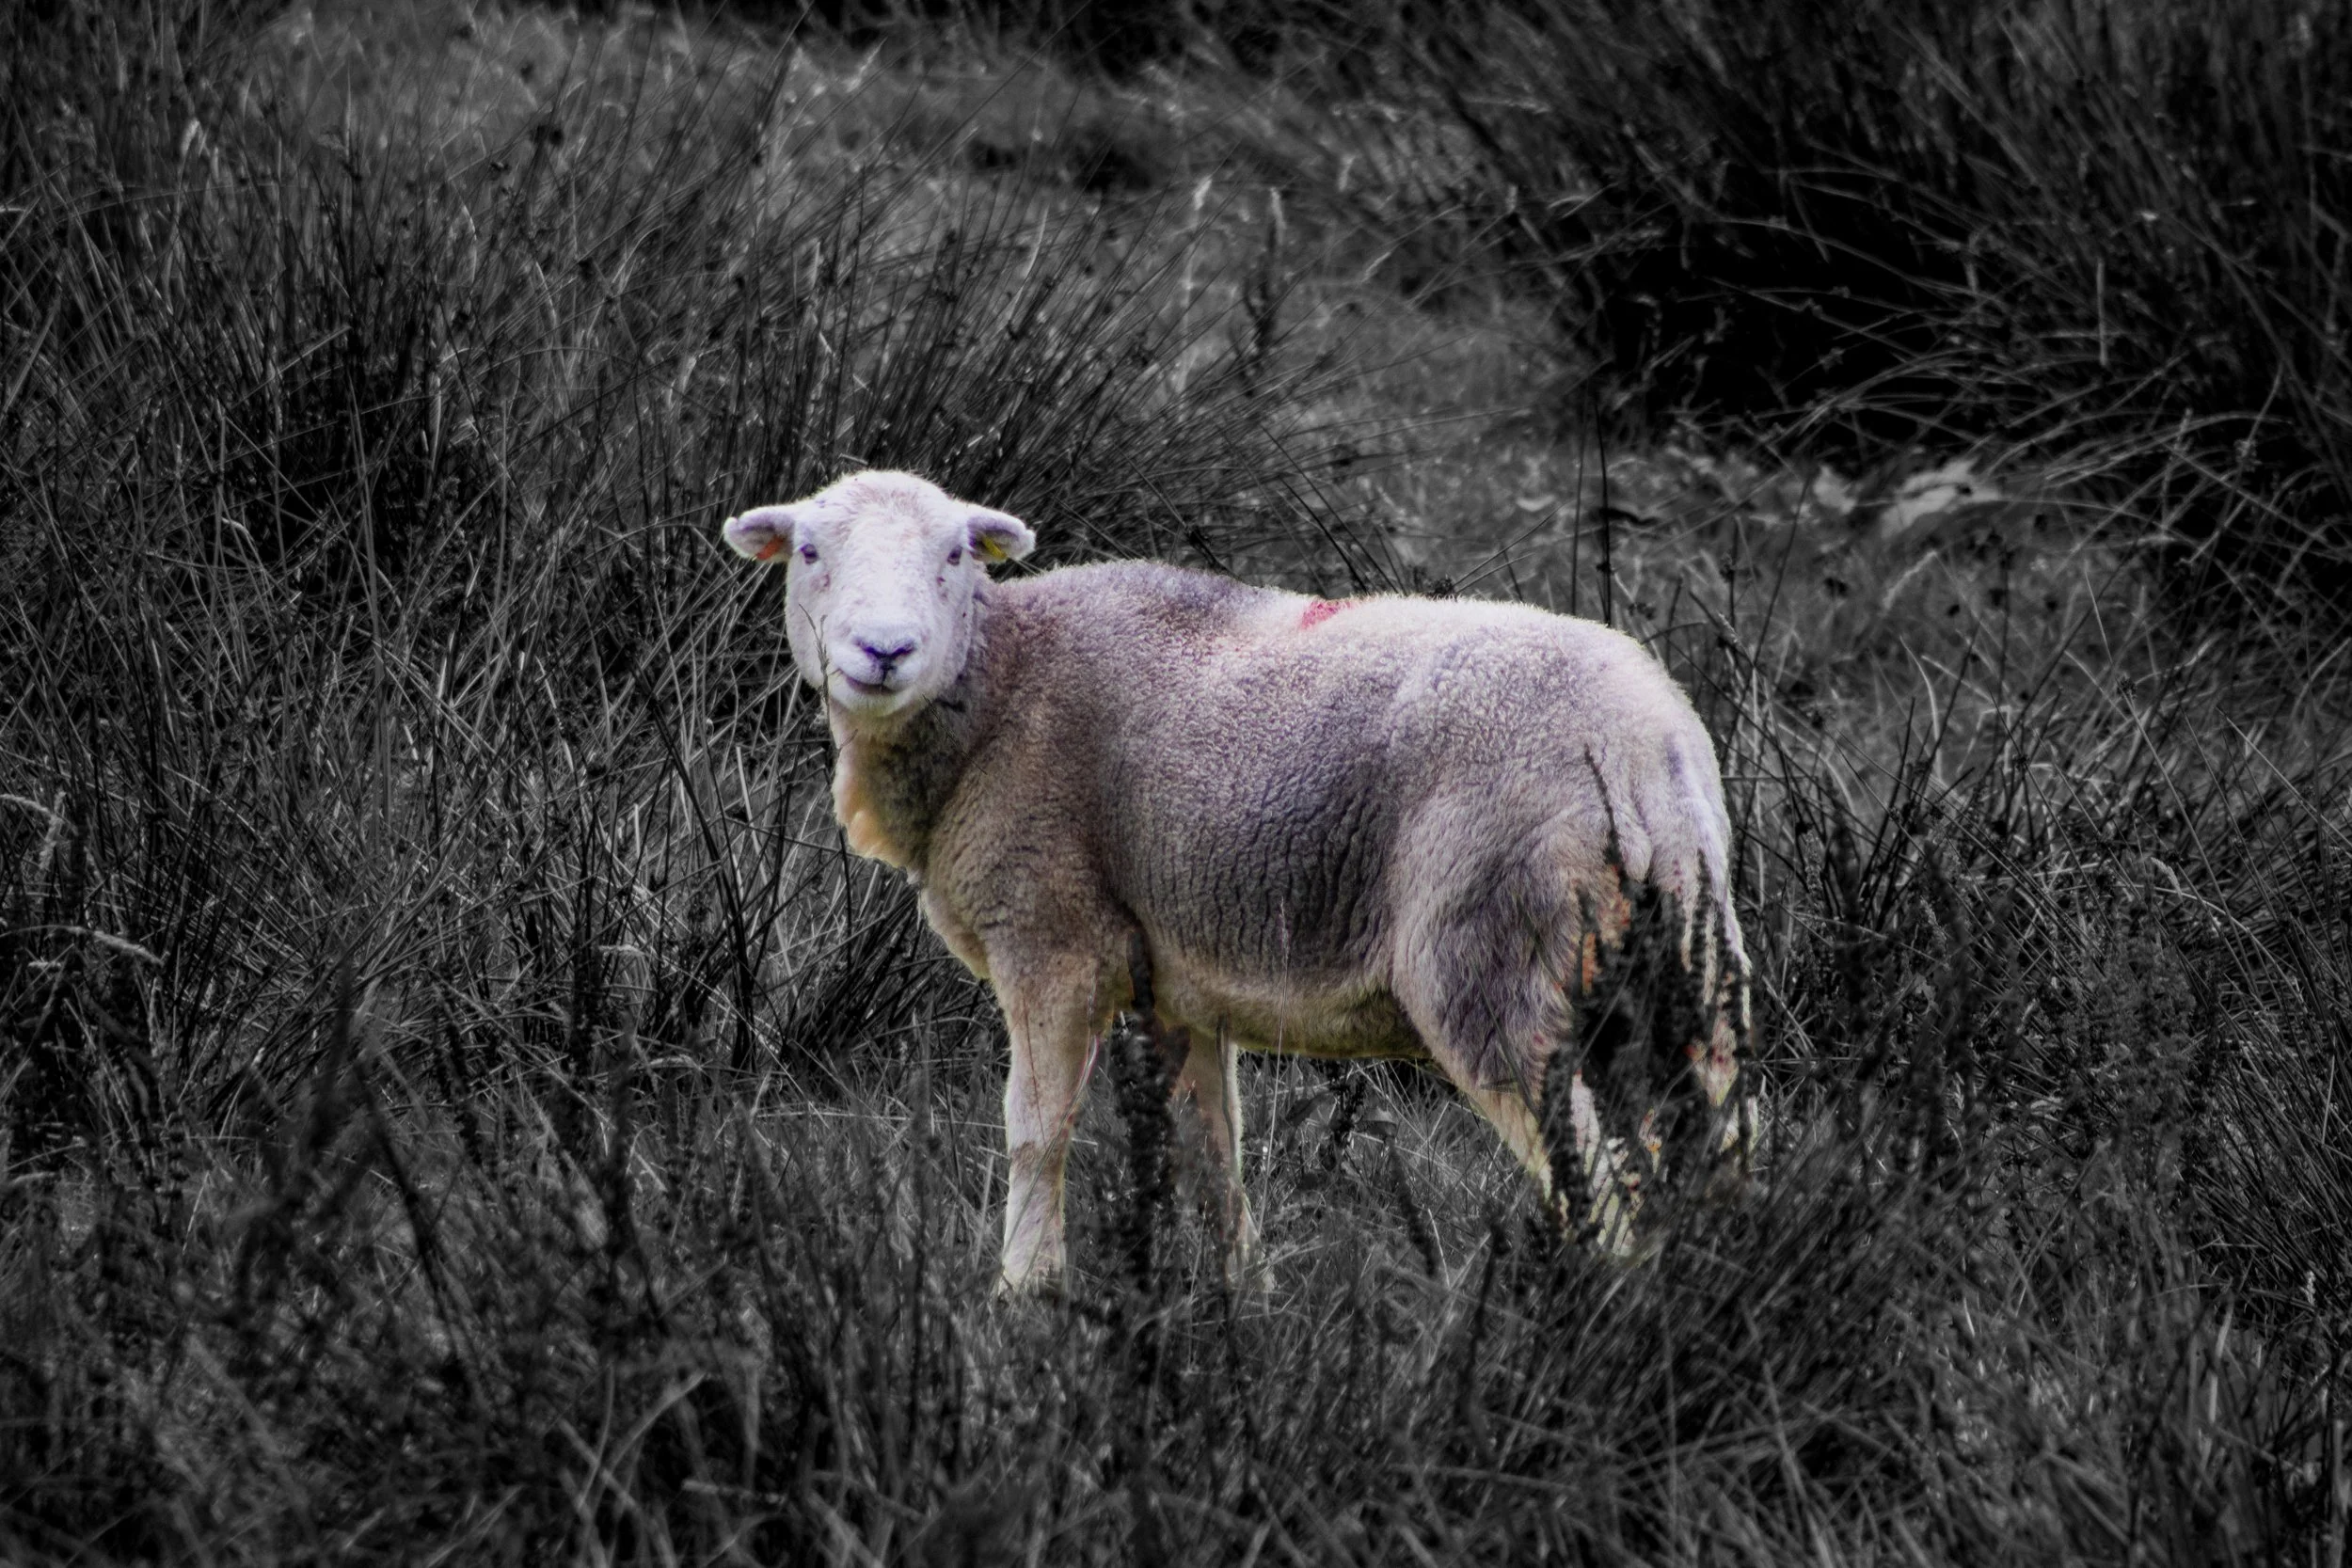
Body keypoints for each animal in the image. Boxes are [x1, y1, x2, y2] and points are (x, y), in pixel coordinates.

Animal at [723, 470, 1751, 1294]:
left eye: (952, 554)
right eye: (809, 551)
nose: (885, 650)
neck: (1001, 681)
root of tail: (1642, 744)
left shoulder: (1051, 937)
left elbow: (1036, 1129)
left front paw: (1022, 1291)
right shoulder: (1177, 978)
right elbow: (1213, 1149)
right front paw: (1240, 1293)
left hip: (1492, 956)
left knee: (1600, 1183)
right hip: (1687, 959)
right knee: (1723, 1137)